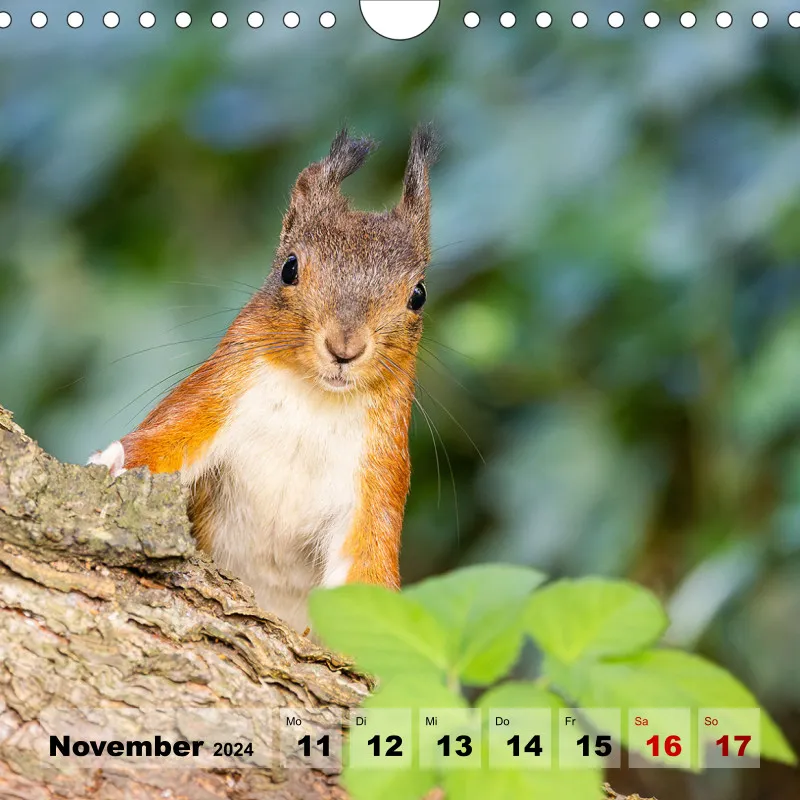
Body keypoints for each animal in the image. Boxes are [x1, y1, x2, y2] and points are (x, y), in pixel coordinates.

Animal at [88, 127, 438, 632]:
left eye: (418, 295)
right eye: (289, 268)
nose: (345, 348)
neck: (314, 397)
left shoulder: (380, 469)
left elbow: (367, 559)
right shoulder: (219, 391)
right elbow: (171, 436)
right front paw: (117, 460)